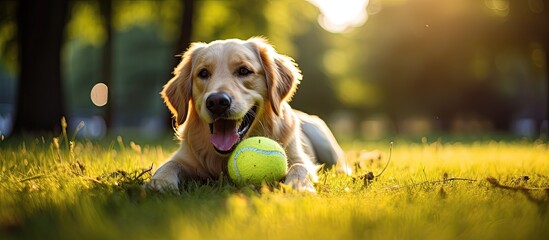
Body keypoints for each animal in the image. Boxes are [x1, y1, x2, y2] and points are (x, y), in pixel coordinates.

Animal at [148, 36, 348, 193]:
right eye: (203, 73)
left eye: (244, 70)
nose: (217, 102)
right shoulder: (185, 158)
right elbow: (169, 164)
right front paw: (158, 182)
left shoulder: (301, 159)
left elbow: (299, 167)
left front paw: (300, 186)